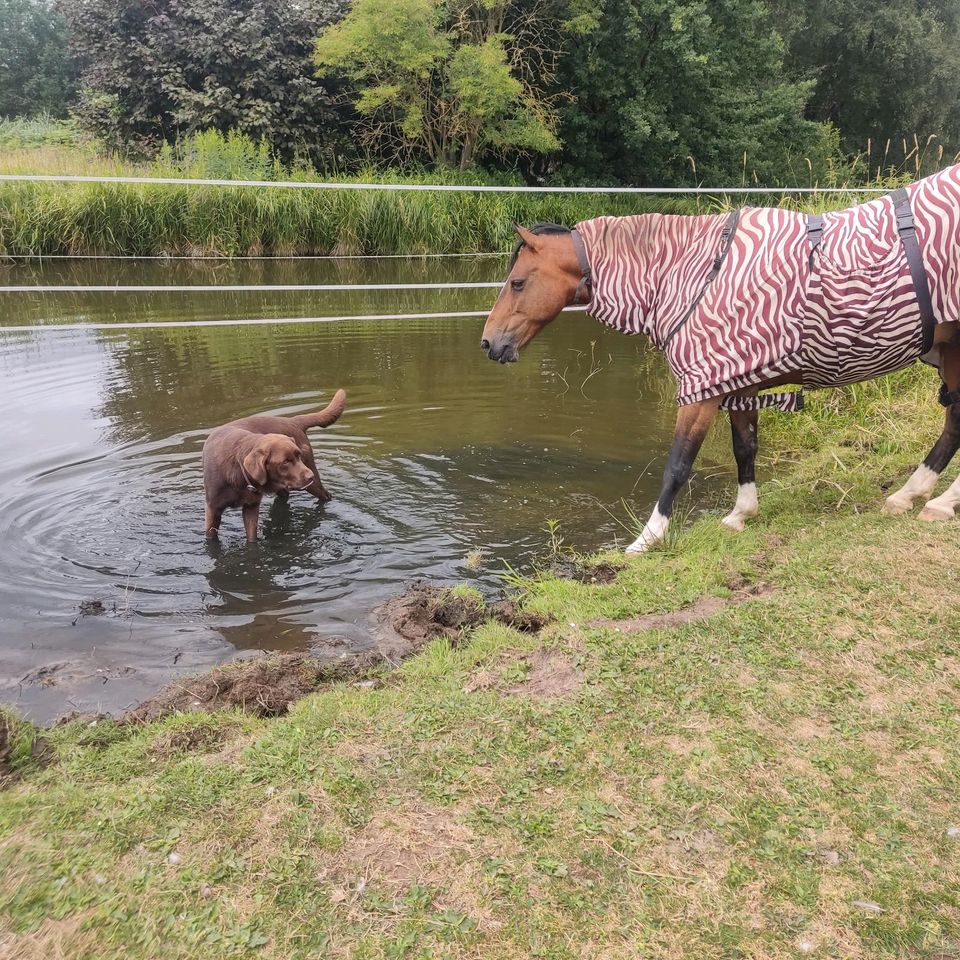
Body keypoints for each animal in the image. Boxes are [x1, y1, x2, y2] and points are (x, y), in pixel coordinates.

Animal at [201, 388, 346, 540]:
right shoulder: (213, 509)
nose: (310, 476)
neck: (239, 474)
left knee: (325, 496)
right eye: (285, 461)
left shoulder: (251, 507)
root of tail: (293, 420)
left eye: (298, 456)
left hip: (312, 482)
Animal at [480, 167, 960, 556]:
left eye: (517, 282)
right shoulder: (736, 382)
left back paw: (937, 503)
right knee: (954, 425)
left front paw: (647, 539)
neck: (694, 271)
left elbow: (677, 465)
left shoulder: (702, 391)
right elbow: (744, 448)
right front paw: (741, 514)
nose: (487, 343)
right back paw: (910, 495)